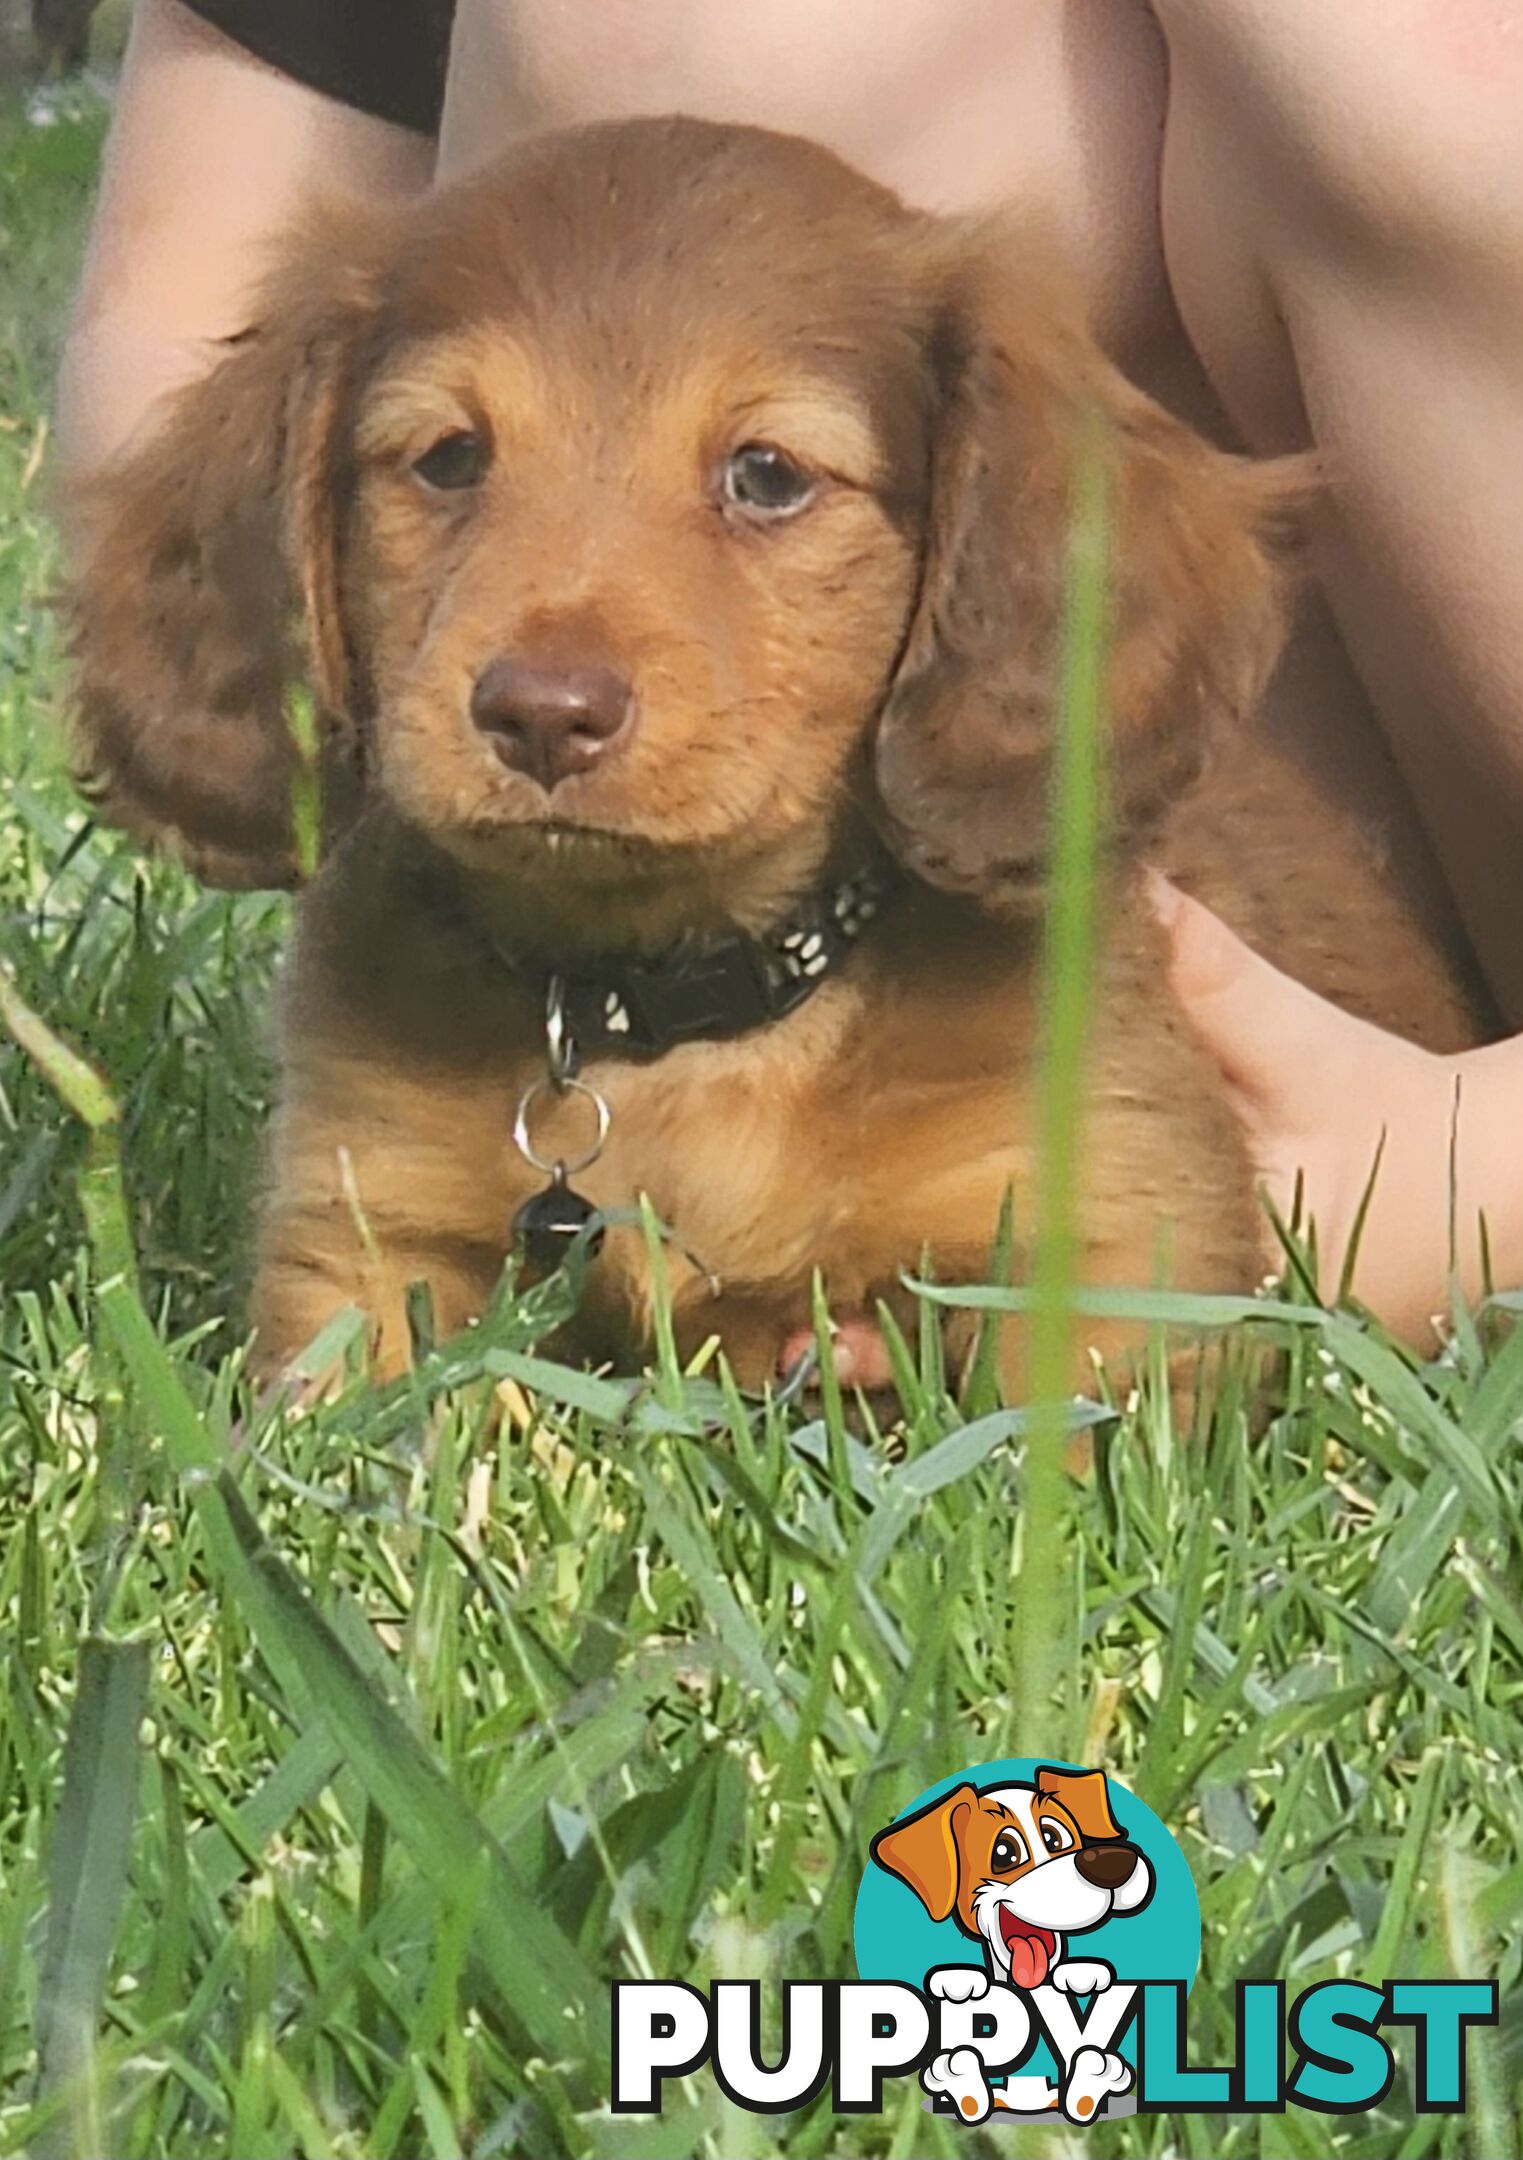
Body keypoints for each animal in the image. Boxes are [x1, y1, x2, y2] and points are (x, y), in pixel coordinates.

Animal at [68, 118, 1468, 1391]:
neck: (673, 1018)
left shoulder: (1107, 1248)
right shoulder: (363, 1235)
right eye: (451, 457)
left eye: (766, 475)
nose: (542, 714)